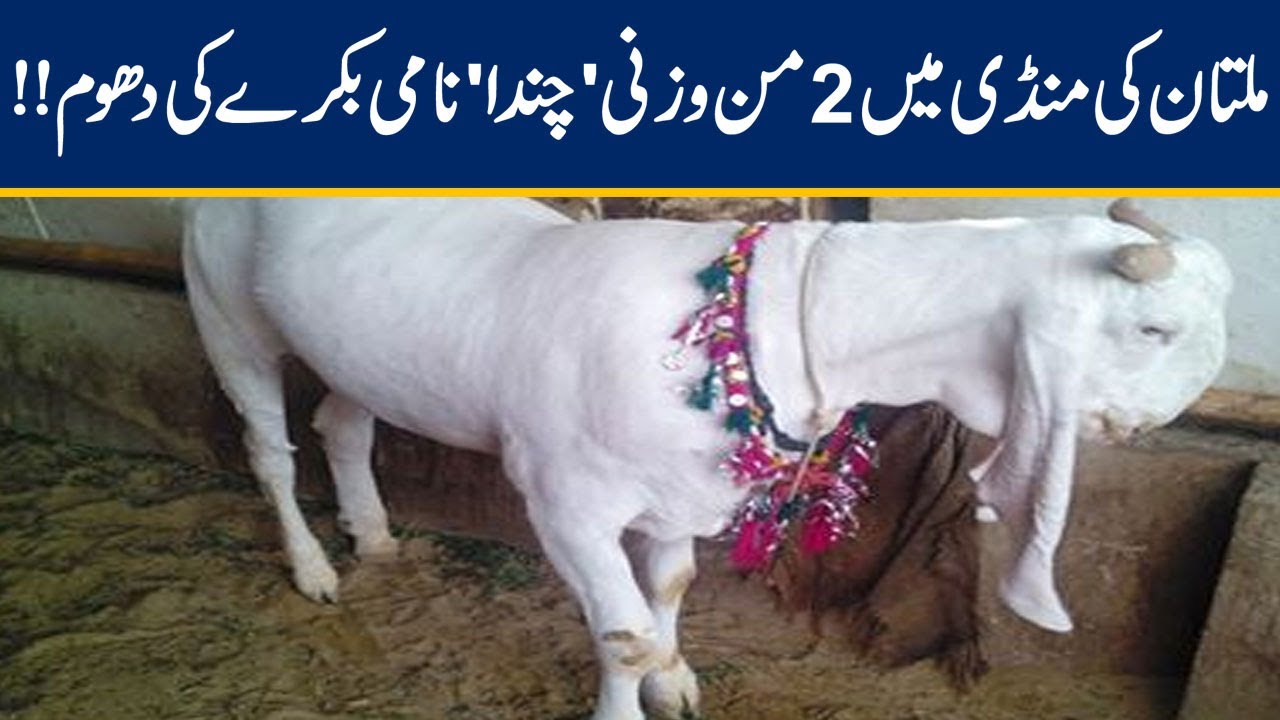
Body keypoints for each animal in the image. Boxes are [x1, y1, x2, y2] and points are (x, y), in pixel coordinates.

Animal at [182, 197, 1232, 720]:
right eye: (1153, 326)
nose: (1153, 421)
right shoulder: (564, 498)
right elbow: (622, 632)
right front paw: (629, 699)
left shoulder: (678, 492)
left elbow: (673, 589)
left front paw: (675, 681)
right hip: (226, 316)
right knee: (270, 449)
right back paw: (314, 569)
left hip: (363, 353)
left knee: (343, 427)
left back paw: (371, 535)